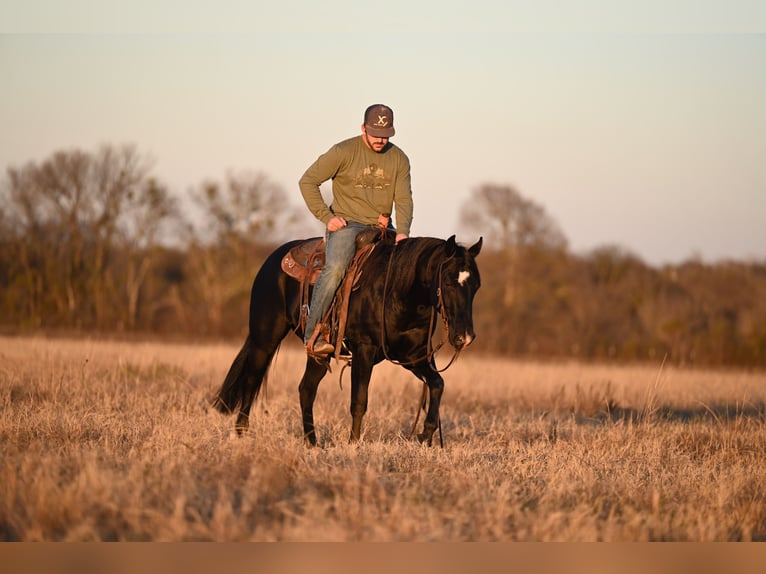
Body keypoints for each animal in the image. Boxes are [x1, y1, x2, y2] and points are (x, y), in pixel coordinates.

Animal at [213, 233, 484, 446]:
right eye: (448, 281)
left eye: (476, 285)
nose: (465, 337)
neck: (397, 291)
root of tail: (272, 260)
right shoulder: (364, 350)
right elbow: (359, 400)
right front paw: (353, 444)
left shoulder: (413, 357)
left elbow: (437, 384)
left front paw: (425, 435)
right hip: (265, 339)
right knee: (251, 380)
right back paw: (240, 434)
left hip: (318, 354)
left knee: (306, 390)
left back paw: (312, 443)